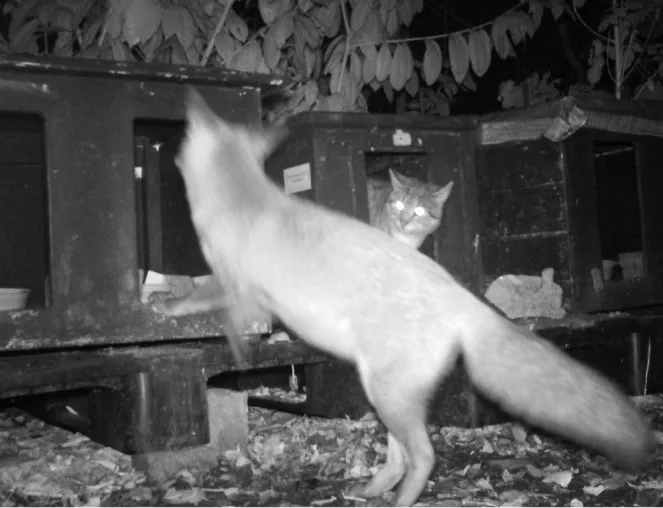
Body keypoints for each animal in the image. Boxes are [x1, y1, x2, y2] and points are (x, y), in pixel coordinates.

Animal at [168, 88, 652, 506]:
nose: (172, 153)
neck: (243, 197)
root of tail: (462, 297)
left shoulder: (235, 286)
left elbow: (217, 315)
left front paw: (175, 312)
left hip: (386, 394)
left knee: (424, 456)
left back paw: (400, 500)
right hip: (386, 396)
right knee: (401, 457)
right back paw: (372, 490)